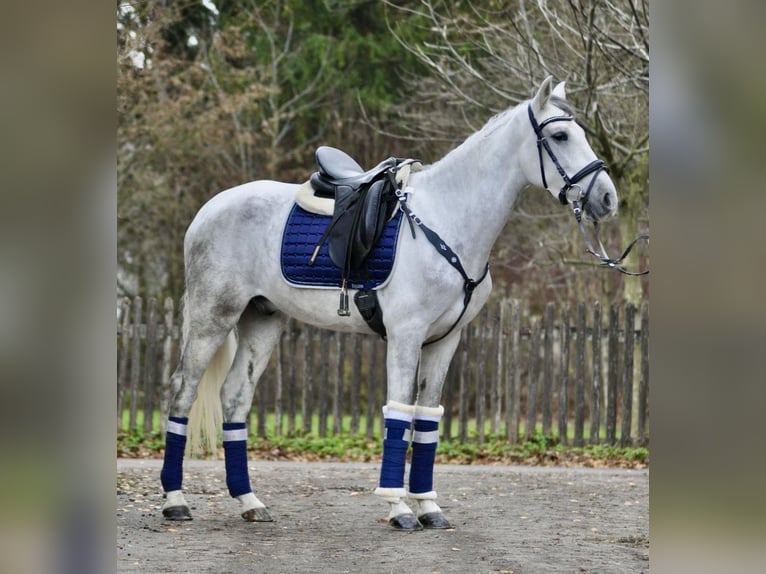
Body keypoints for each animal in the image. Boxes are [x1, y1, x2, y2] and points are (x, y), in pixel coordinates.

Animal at [159, 76, 619, 530]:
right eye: (559, 136)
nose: (607, 199)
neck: (447, 219)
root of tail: (209, 209)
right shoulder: (405, 336)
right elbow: (398, 412)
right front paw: (399, 509)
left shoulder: (444, 342)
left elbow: (427, 417)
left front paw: (428, 507)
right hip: (212, 317)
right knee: (183, 390)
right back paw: (175, 501)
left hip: (262, 319)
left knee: (235, 397)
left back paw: (249, 501)